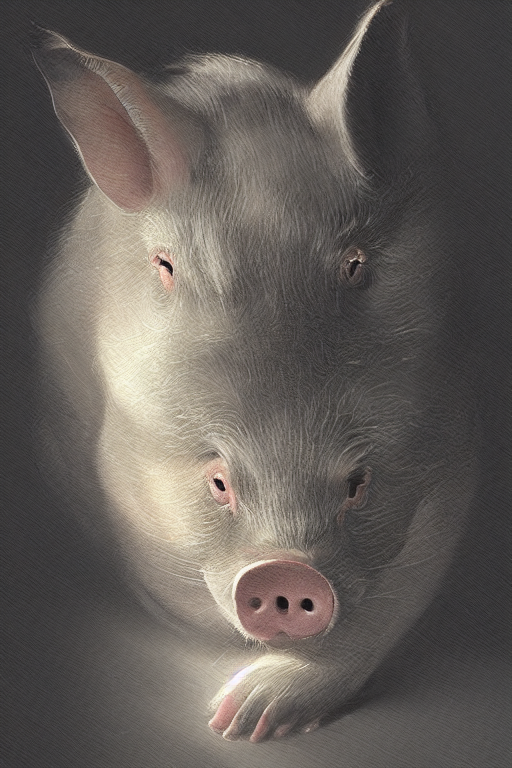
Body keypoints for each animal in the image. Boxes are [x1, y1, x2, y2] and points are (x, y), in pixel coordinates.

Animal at [32, 0, 476, 742]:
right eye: (219, 482)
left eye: (356, 484)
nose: (286, 575)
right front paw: (225, 721)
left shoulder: (451, 431)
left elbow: (396, 596)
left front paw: (245, 719)